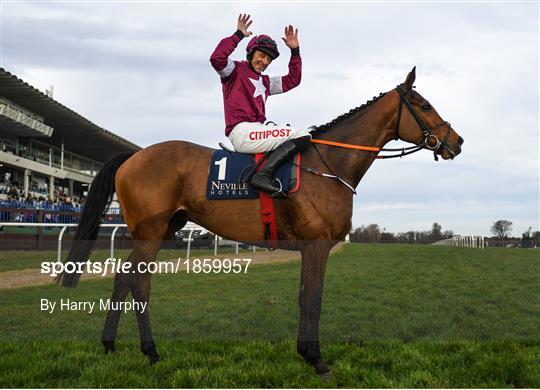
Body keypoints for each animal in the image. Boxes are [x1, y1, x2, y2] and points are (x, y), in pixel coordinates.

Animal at [59, 68, 464, 376]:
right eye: (424, 105)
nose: (456, 141)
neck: (328, 166)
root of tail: (134, 155)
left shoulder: (310, 249)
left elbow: (304, 296)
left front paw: (305, 353)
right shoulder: (316, 245)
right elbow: (312, 300)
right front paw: (317, 360)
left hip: (163, 228)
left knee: (123, 278)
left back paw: (109, 345)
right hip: (150, 232)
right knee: (140, 283)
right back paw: (151, 351)